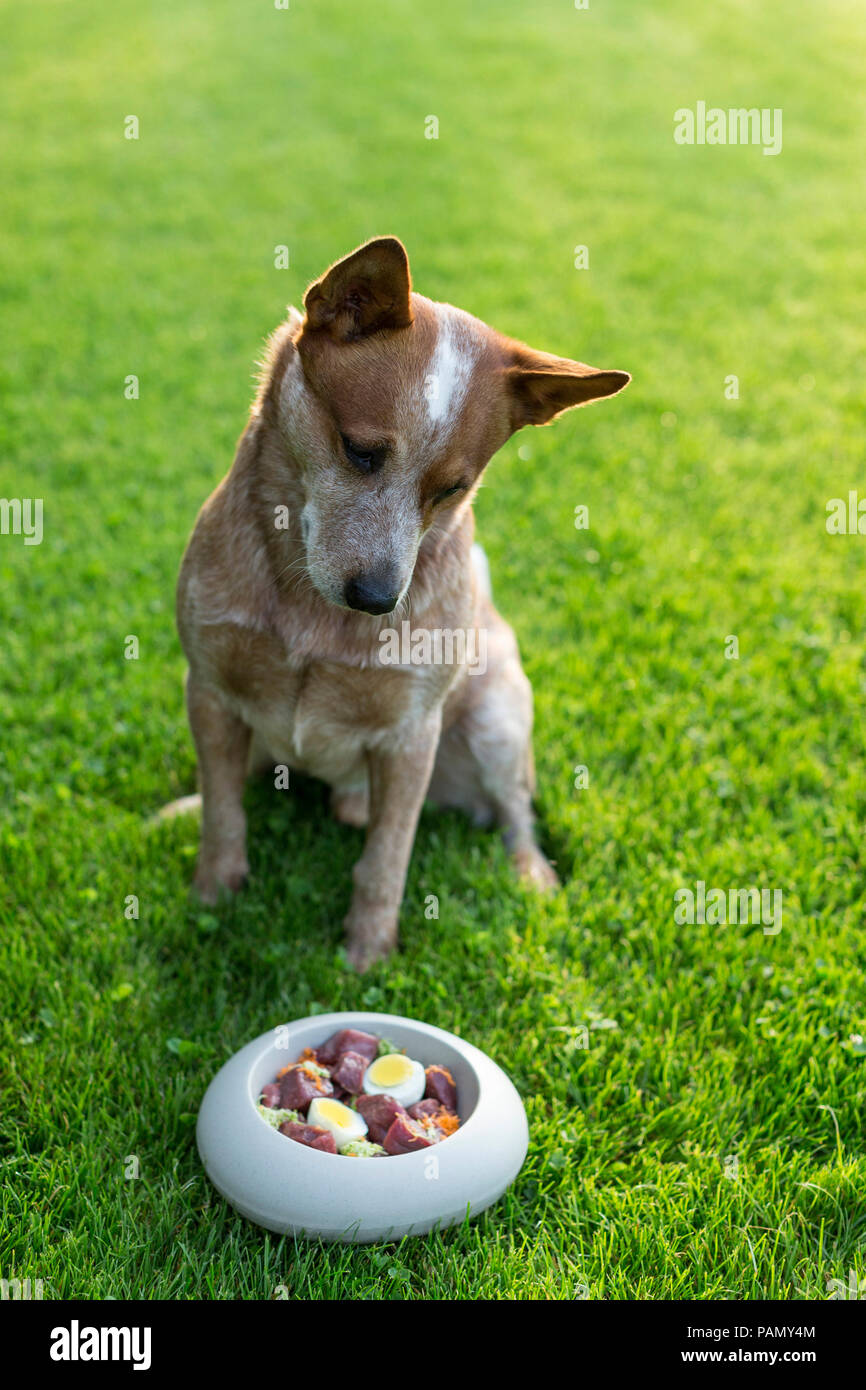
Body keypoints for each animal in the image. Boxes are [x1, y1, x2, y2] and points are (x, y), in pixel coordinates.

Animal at [173, 236, 631, 967]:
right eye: (361, 452)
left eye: (450, 490)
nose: (377, 598)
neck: (311, 612)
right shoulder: (210, 686)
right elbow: (223, 814)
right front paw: (210, 898)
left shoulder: (411, 736)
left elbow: (387, 858)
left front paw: (367, 954)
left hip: (499, 718)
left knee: (515, 812)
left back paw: (532, 874)